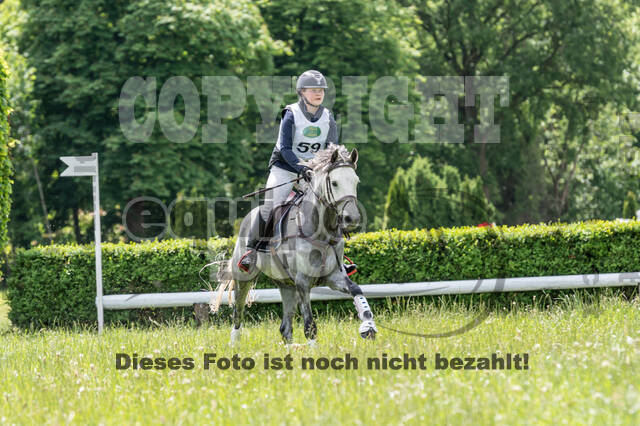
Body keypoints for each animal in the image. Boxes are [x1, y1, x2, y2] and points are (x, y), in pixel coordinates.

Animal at [211, 144, 377, 345]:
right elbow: (310, 325)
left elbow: (356, 289)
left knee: (285, 327)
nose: (352, 219)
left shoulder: (333, 277)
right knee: (238, 311)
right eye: (335, 183)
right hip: (244, 277)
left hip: (286, 285)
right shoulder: (303, 282)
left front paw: (368, 326)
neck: (321, 233)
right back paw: (234, 343)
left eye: (356, 182)